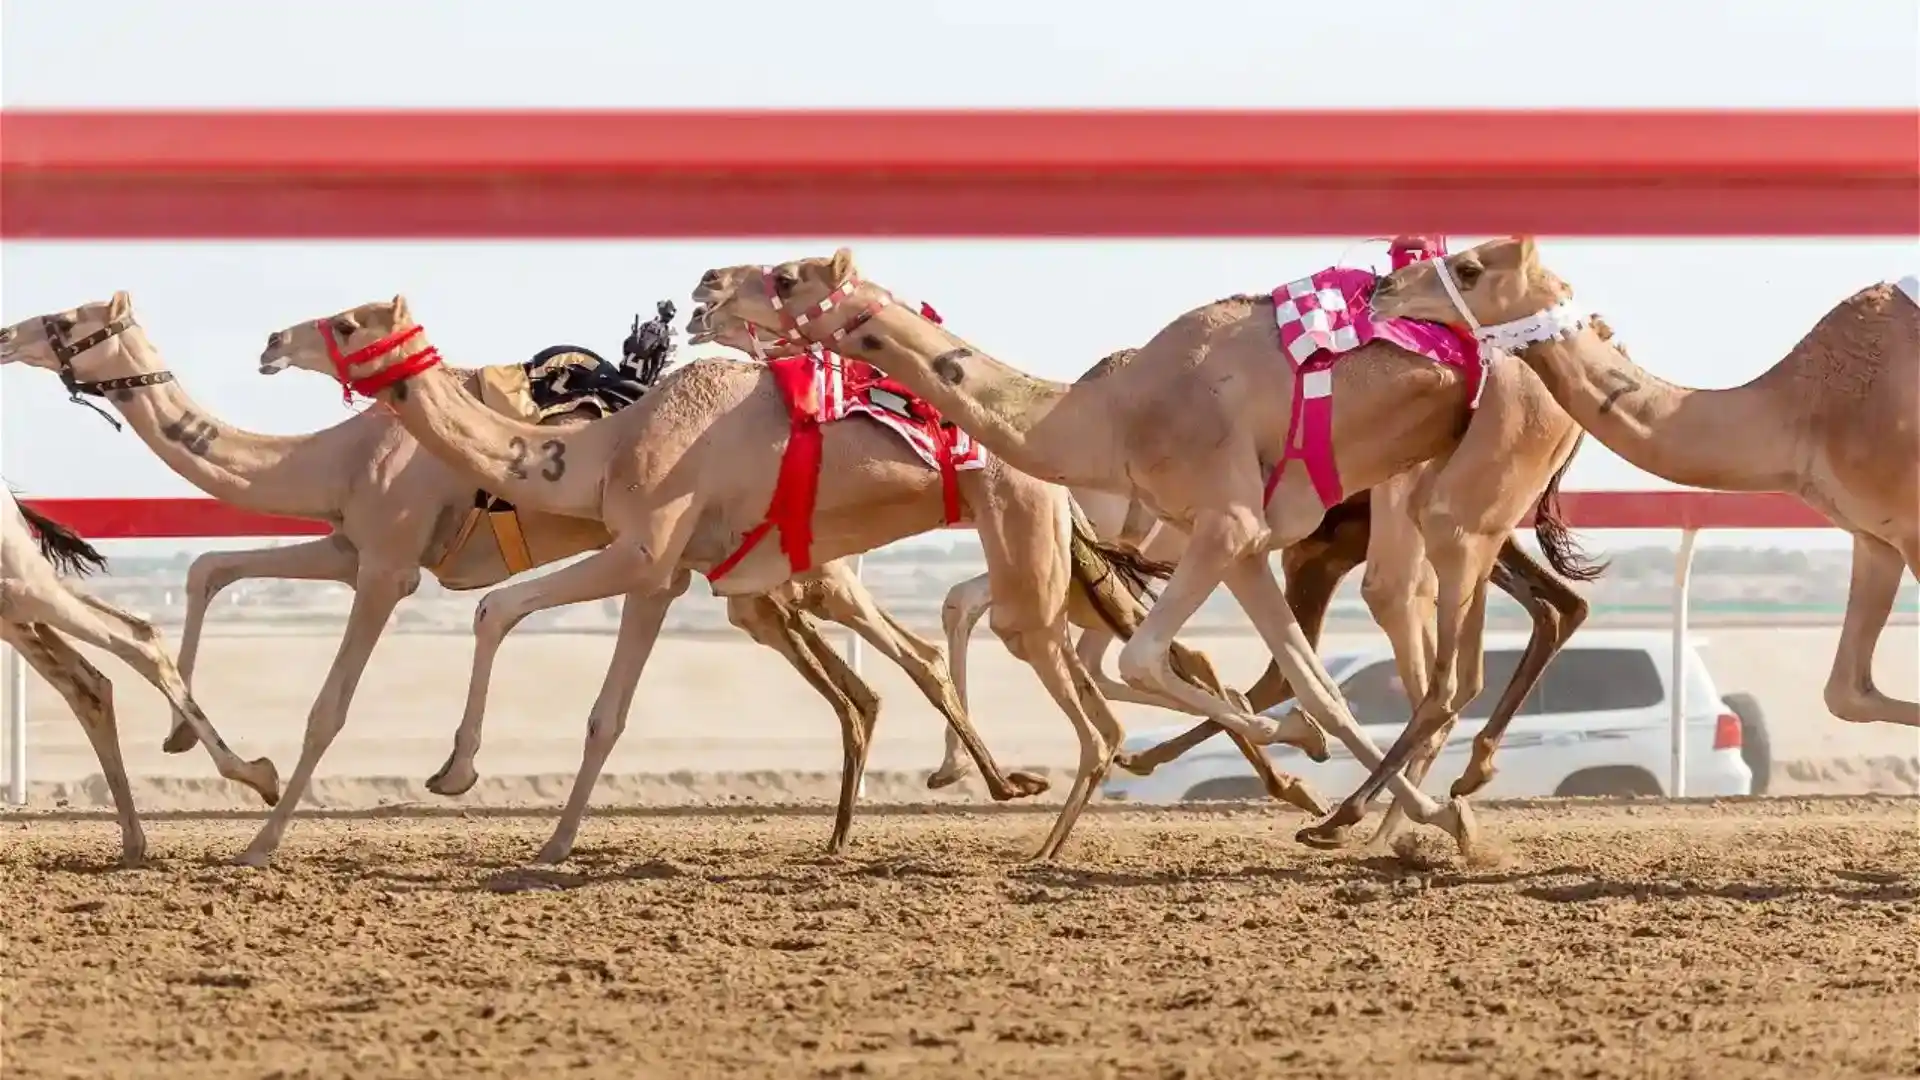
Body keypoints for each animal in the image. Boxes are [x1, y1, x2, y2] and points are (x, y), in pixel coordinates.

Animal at [0, 488, 280, 857]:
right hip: (17, 605)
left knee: (134, 646)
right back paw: (134, 840)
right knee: (92, 684)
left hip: (23, 586)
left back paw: (256, 775)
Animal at [251, 292, 1274, 857]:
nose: (268, 341)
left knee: (1087, 690)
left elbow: (539, 649)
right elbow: (540, 642)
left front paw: (492, 798)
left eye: (345, 320)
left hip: (1024, 542)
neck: (611, 446)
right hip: (1046, 547)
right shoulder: (703, 572)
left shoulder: (647, 554)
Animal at [691, 242, 1605, 849]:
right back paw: (1412, 811)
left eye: (785, 276)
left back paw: (1410, 807)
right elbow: (1317, 689)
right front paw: (1393, 797)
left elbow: (1146, 663)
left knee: (1455, 658)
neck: (1107, 414)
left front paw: (1296, 760)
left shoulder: (1224, 523)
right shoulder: (1240, 545)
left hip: (1471, 483)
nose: (704, 285)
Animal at [1374, 232, 1912, 726]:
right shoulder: (1876, 537)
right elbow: (1848, 694)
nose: (1384, 287)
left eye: (1469, 268)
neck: (1806, 411)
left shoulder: (1910, 526)